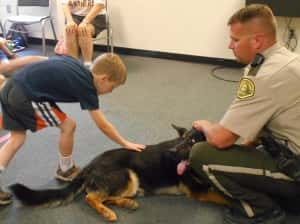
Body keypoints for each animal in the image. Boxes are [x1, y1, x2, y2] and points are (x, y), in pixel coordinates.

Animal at [10, 125, 229, 221]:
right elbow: (224, 197)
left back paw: (126, 203)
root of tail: (90, 166)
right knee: (91, 197)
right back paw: (107, 212)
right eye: (182, 139)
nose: (173, 152)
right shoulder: (199, 192)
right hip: (128, 176)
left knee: (105, 196)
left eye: (192, 141)